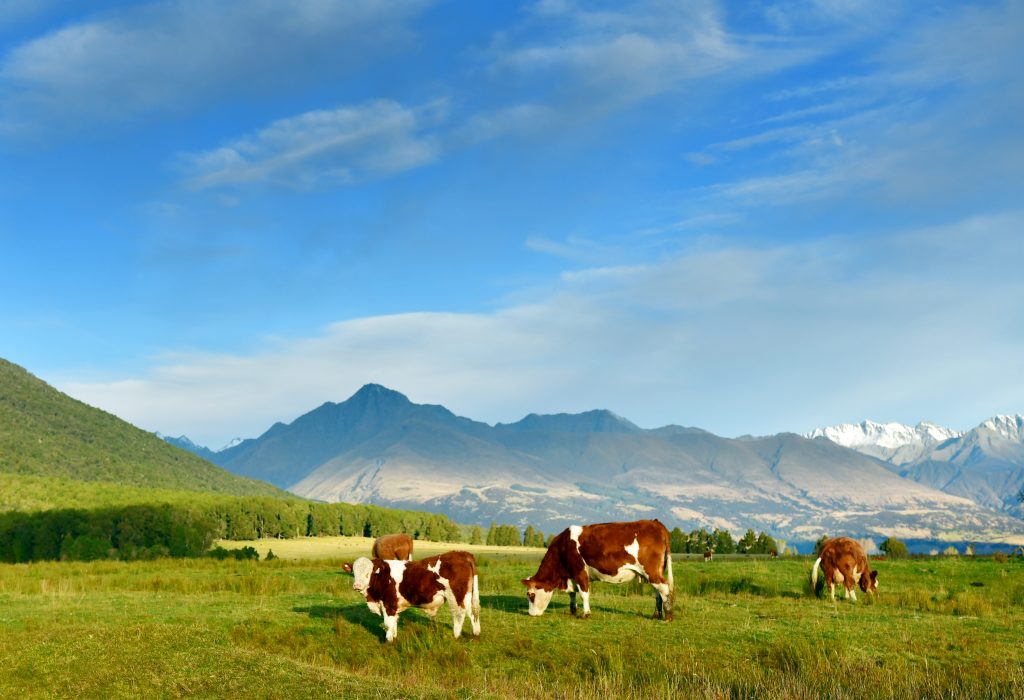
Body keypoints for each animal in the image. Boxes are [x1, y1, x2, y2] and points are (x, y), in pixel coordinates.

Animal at [350, 548, 481, 642]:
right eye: (354, 572)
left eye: (368, 573)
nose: (357, 585)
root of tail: (462, 554)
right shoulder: (394, 606)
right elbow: (394, 622)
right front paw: (395, 638)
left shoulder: (389, 604)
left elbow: (388, 624)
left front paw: (389, 641)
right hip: (468, 596)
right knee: (473, 613)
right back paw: (475, 635)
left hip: (457, 596)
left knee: (459, 615)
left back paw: (456, 636)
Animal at [520, 515, 671, 622]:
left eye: (530, 594)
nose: (530, 614)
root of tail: (655, 522)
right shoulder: (571, 575)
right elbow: (572, 594)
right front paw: (573, 611)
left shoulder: (580, 571)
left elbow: (584, 593)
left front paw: (586, 614)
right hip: (653, 572)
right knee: (658, 592)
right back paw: (656, 615)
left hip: (651, 571)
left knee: (664, 588)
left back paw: (668, 616)